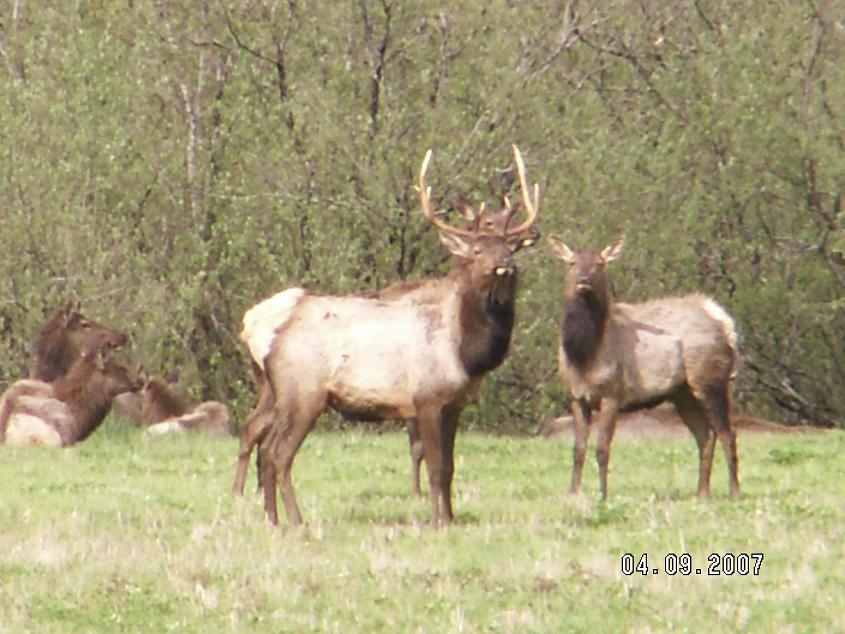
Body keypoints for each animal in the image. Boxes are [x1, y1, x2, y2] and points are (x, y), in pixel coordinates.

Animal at [237, 144, 540, 524]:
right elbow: (435, 467)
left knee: (265, 446)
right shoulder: (426, 398)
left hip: (283, 394)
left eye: (510, 245)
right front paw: (437, 521)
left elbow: (451, 468)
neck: (466, 353)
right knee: (278, 452)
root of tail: (268, 335)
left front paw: (451, 519)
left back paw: (273, 519)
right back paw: (295, 520)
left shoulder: (454, 405)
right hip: (303, 393)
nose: (505, 263)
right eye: (476, 249)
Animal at [548, 235, 740, 502]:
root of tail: (724, 321)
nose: (583, 280)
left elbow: (602, 448)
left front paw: (603, 495)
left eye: (599, 263)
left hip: (711, 379)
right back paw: (701, 493)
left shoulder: (612, 393)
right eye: (572, 262)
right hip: (682, 393)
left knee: (727, 434)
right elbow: (578, 449)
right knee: (705, 436)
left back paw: (734, 493)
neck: (585, 357)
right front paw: (573, 493)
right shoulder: (577, 397)